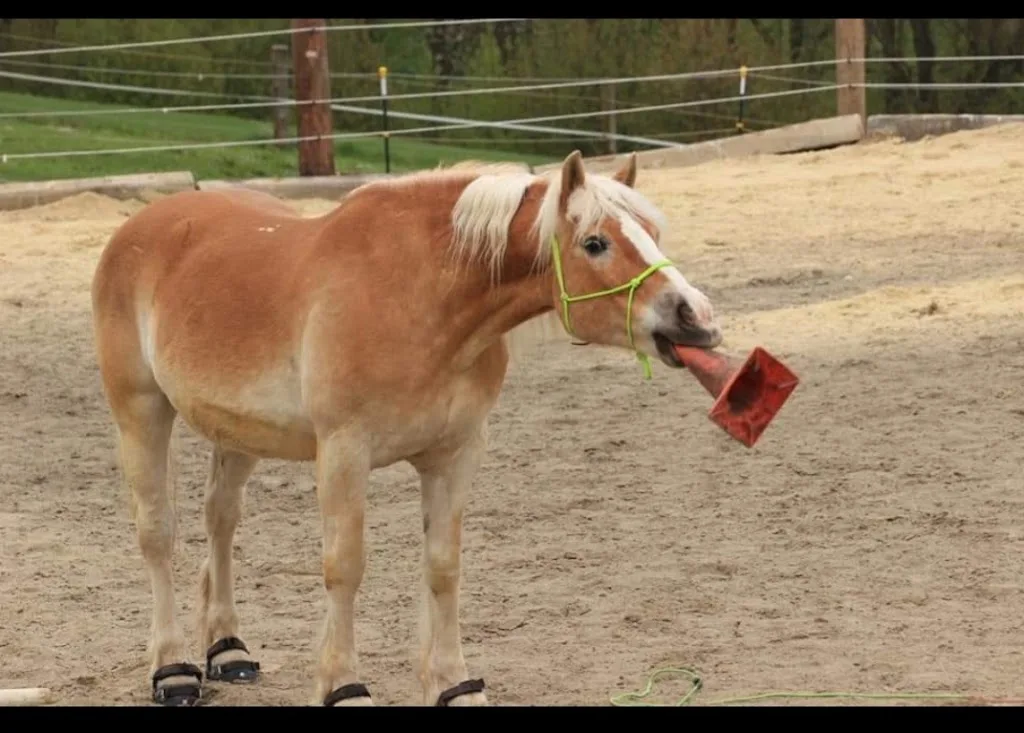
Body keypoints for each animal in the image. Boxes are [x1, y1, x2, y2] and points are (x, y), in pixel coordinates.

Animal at [89, 149, 723, 707]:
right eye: (595, 242)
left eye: (652, 231)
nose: (697, 317)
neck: (421, 294)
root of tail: (139, 228)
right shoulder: (344, 451)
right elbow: (344, 568)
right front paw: (344, 686)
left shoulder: (455, 454)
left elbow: (442, 568)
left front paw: (452, 684)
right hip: (141, 412)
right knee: (158, 534)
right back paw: (173, 669)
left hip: (238, 434)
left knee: (220, 520)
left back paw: (227, 648)